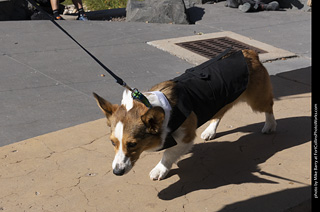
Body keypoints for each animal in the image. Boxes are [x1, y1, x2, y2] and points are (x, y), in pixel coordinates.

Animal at [92, 49, 276, 181]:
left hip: (257, 100)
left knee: (269, 107)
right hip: (220, 99)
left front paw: (160, 169)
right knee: (219, 114)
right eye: (112, 143)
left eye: (132, 144)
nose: (117, 172)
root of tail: (248, 52)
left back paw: (270, 126)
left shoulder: (185, 137)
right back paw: (210, 131)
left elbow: (168, 155)